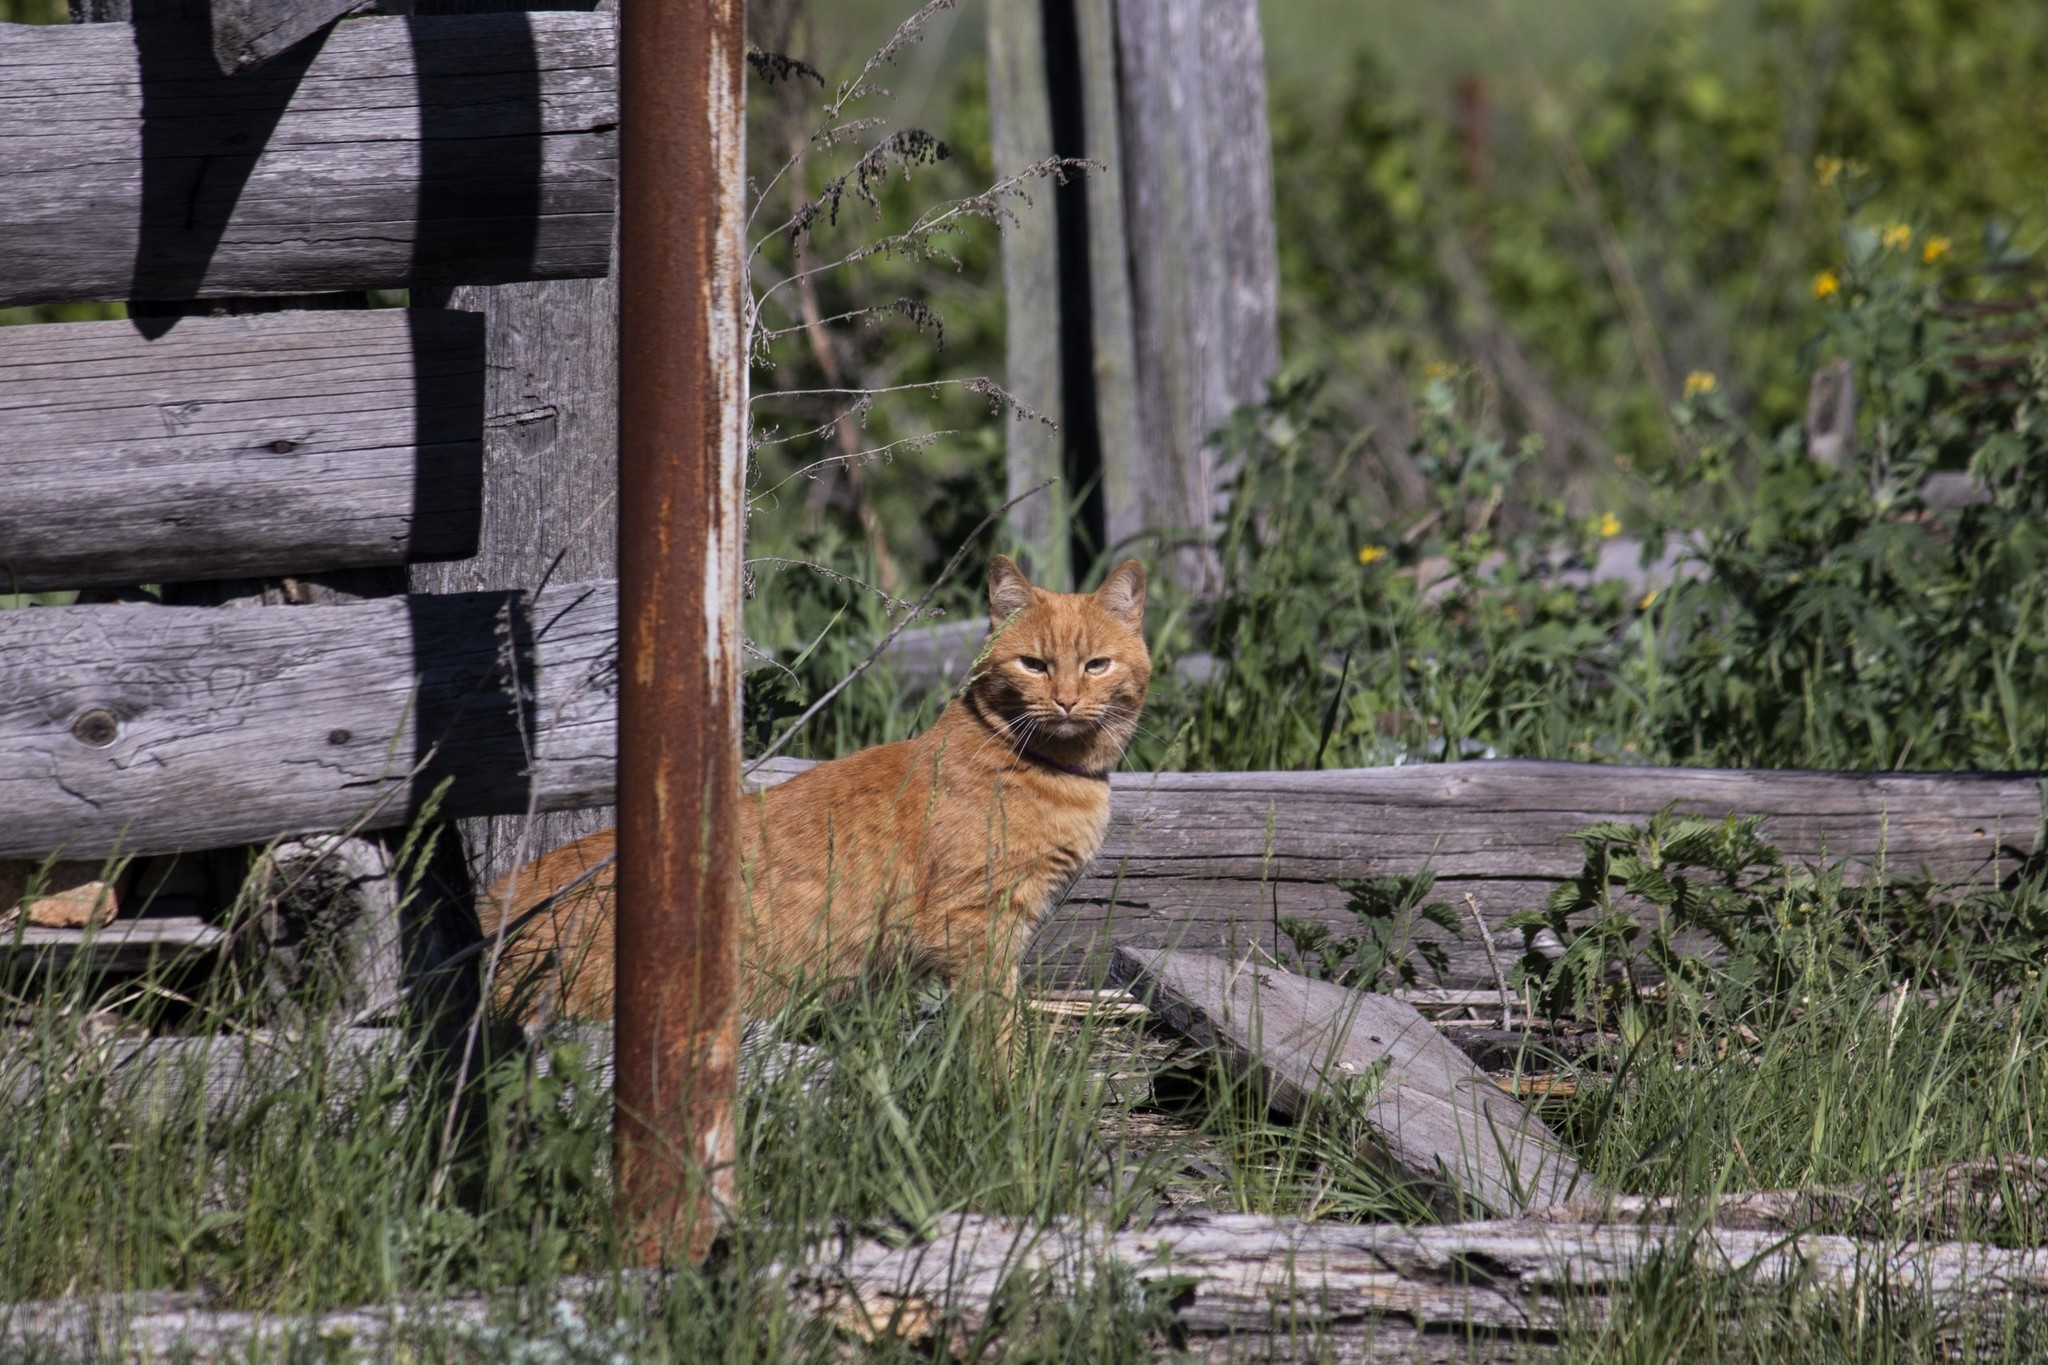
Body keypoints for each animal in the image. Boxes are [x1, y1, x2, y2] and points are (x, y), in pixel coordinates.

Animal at [481, 556, 1155, 1023]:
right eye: (1033, 665)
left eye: (1095, 665)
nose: (1065, 700)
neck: (1044, 769)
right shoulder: (975, 930)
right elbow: (997, 1038)